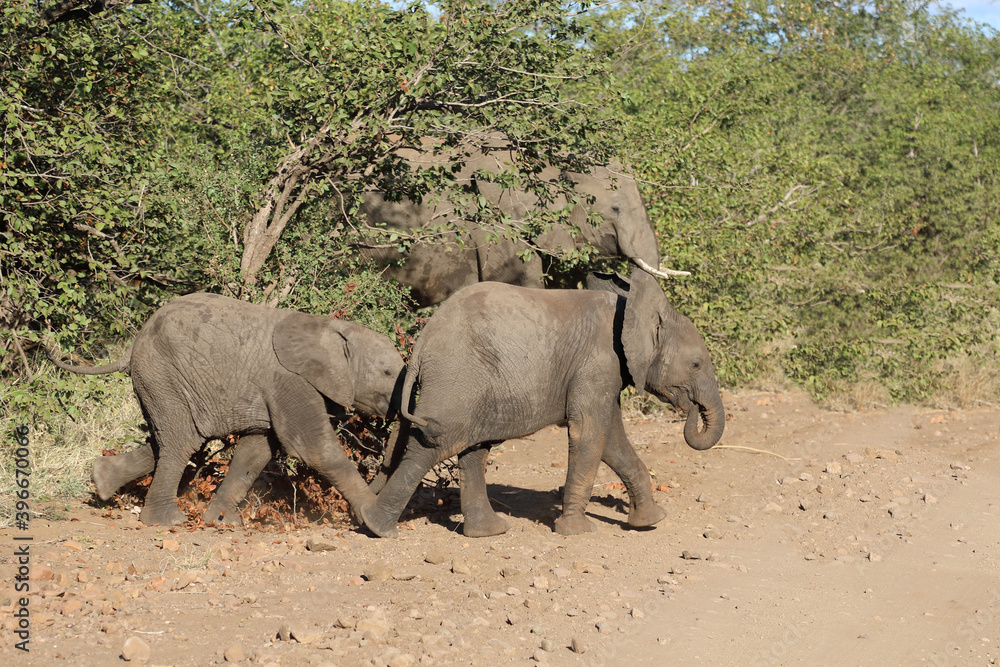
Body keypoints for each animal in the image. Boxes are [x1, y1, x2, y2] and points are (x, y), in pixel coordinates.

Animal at [47, 293, 405, 526]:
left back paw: (102, 481)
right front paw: (375, 521)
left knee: (167, 441)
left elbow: (256, 451)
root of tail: (133, 345)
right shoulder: (286, 379)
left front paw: (222, 521)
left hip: (157, 381)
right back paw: (167, 521)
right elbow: (312, 447)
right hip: (163, 374)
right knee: (181, 442)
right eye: (388, 372)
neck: (330, 328)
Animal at [359, 270, 725, 538]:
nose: (691, 409)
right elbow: (589, 433)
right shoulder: (598, 361)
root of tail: (421, 344)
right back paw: (377, 528)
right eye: (696, 364)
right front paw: (576, 532)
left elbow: (610, 440)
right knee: (431, 446)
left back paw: (488, 532)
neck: (630, 309)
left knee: (473, 451)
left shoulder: (604, 370)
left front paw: (650, 521)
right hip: (456, 379)